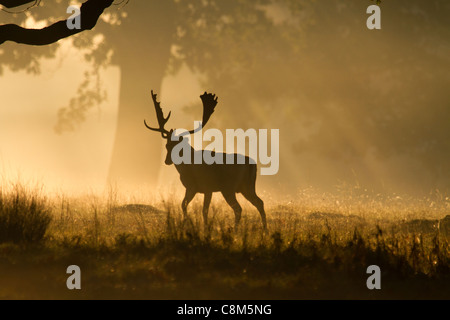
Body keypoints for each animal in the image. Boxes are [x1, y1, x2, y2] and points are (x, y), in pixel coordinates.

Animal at [144, 90, 266, 230]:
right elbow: (185, 205)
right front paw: (188, 223)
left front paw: (203, 227)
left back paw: (235, 229)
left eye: (177, 146)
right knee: (259, 202)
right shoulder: (193, 188)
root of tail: (252, 164)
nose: (167, 161)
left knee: (239, 208)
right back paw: (265, 229)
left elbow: (201, 209)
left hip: (229, 187)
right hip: (247, 186)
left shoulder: (206, 187)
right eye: (167, 145)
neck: (188, 168)